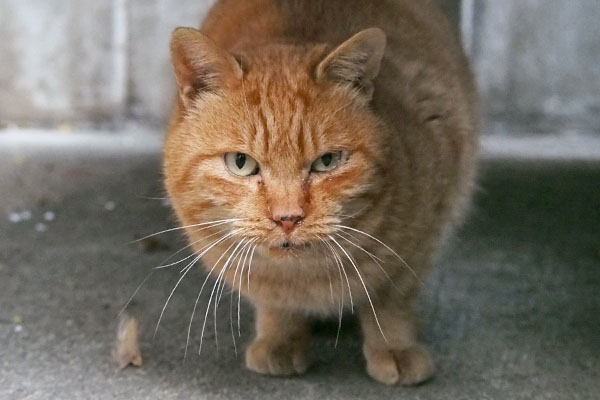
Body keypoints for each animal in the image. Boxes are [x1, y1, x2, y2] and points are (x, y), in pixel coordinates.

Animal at [163, 0, 478, 388]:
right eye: (241, 163)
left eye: (326, 162)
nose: (287, 218)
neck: (306, 278)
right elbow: (276, 305)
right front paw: (281, 338)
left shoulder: (423, 238)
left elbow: (392, 300)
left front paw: (395, 346)